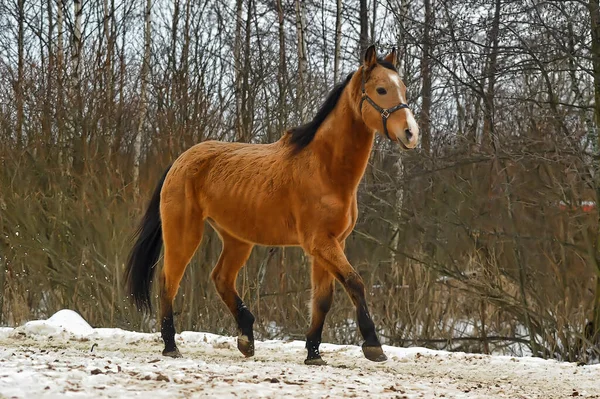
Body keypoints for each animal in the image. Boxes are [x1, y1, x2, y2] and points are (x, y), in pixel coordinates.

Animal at [124, 44, 420, 366]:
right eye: (381, 89)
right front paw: (373, 345)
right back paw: (171, 346)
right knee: (169, 281)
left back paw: (246, 338)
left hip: (237, 239)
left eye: (403, 88)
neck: (325, 169)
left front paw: (313, 353)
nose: (411, 133)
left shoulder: (330, 244)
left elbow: (322, 299)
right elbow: (354, 282)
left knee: (221, 279)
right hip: (185, 233)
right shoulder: (320, 243)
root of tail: (181, 160)